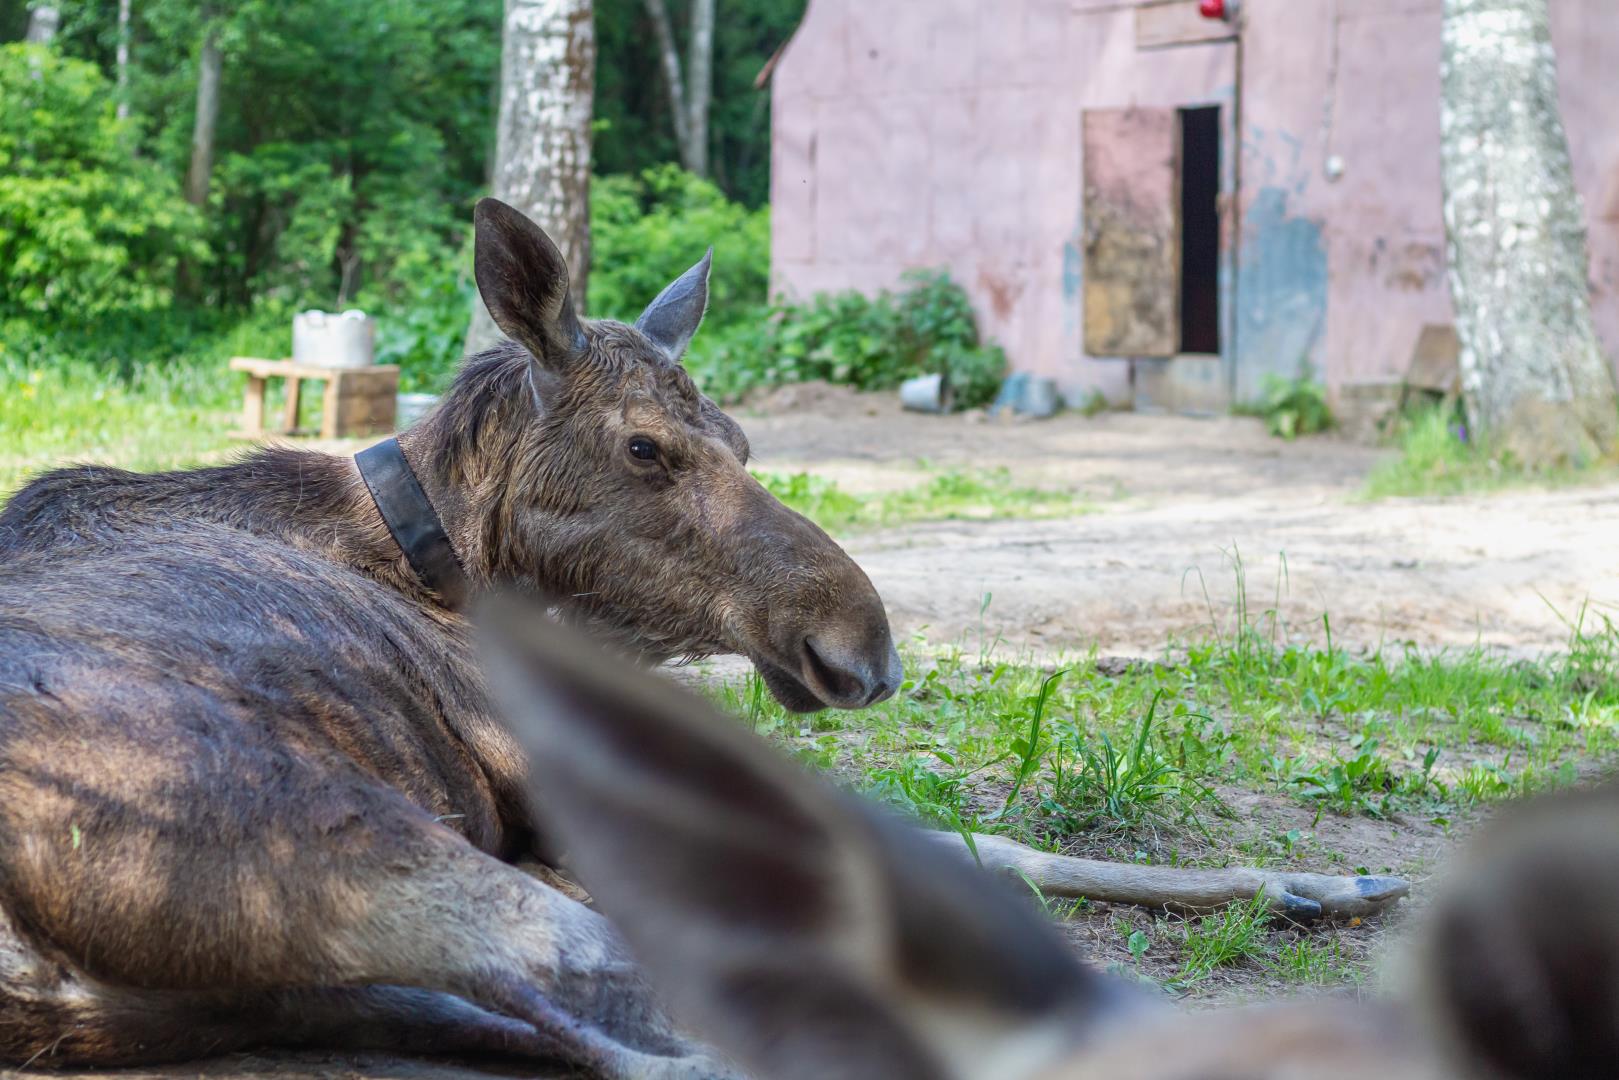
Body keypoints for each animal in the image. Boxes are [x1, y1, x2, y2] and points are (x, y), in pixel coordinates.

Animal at [0, 200, 1398, 1075]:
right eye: (644, 448)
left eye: (743, 437)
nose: (859, 646)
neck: (440, 552)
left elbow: (974, 844)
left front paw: (1304, 881)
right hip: (301, 817)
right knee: (617, 989)